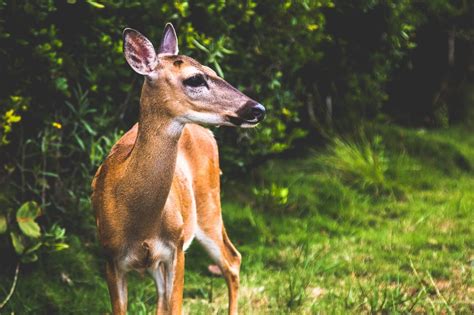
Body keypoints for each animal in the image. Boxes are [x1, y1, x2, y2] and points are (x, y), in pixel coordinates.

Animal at [90, 22, 264, 315]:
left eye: (212, 70)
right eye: (195, 79)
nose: (258, 108)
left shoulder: (177, 247)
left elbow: (176, 306)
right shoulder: (111, 258)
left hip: (208, 206)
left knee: (232, 259)